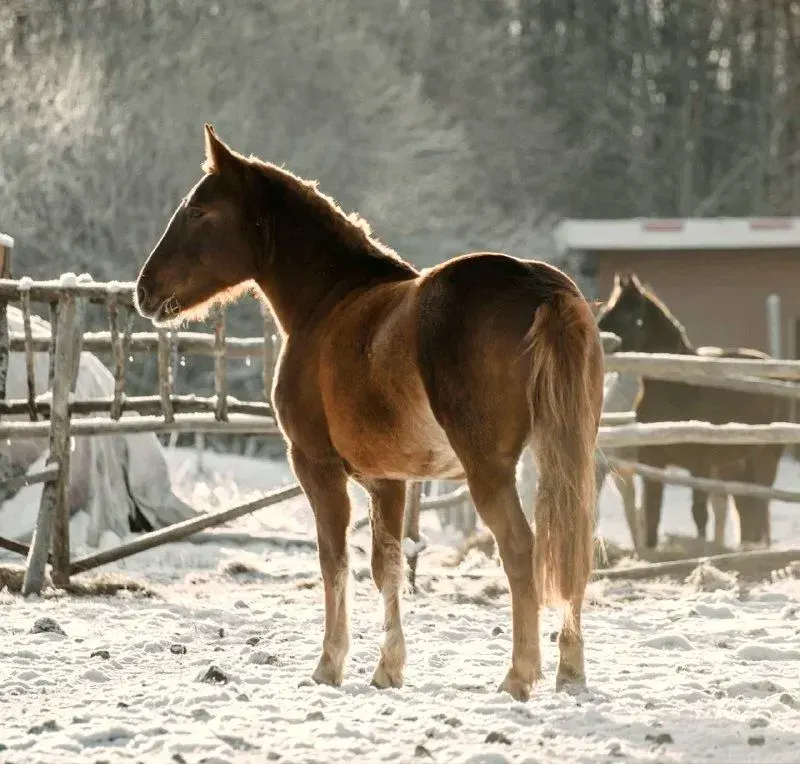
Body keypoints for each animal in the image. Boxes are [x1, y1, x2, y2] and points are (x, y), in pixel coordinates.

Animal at [133, 124, 604, 701]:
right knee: (572, 551)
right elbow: (388, 567)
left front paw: (329, 665)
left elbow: (334, 562)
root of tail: (541, 288)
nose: (144, 290)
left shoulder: (316, 466)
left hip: (489, 469)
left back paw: (518, 676)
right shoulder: (389, 480)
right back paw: (570, 674)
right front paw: (388, 669)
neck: (330, 302)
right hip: (565, 456)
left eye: (199, 211)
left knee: (521, 550)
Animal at [596, 272, 787, 549]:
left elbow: (699, 515)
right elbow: (651, 518)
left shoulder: (700, 467)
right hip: (735, 464)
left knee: (761, 507)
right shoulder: (652, 465)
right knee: (746, 509)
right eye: (608, 309)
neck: (678, 391)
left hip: (765, 458)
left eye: (629, 313)